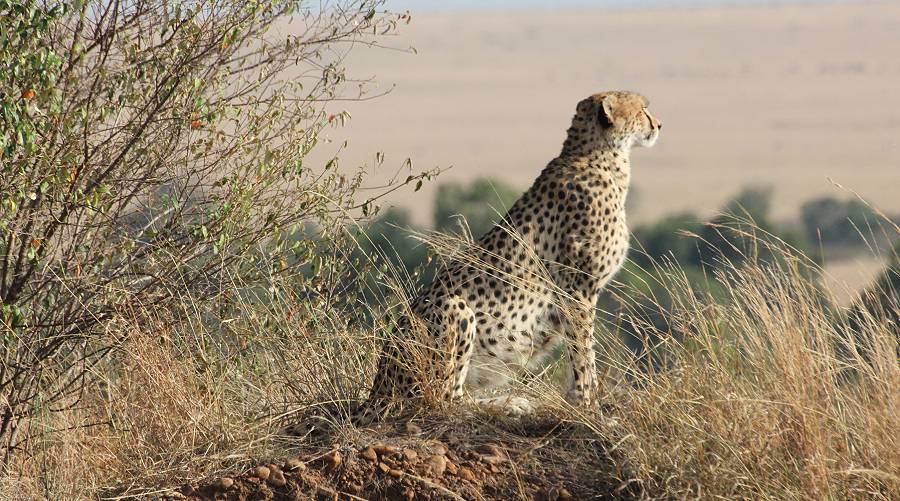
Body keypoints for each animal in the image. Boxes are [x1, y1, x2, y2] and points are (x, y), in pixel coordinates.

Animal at [342, 90, 664, 426]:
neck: (598, 156)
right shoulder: (578, 291)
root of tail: (376, 392)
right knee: (445, 401)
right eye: (643, 109)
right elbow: (583, 355)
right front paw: (589, 408)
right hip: (454, 308)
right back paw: (507, 405)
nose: (659, 125)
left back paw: (512, 402)